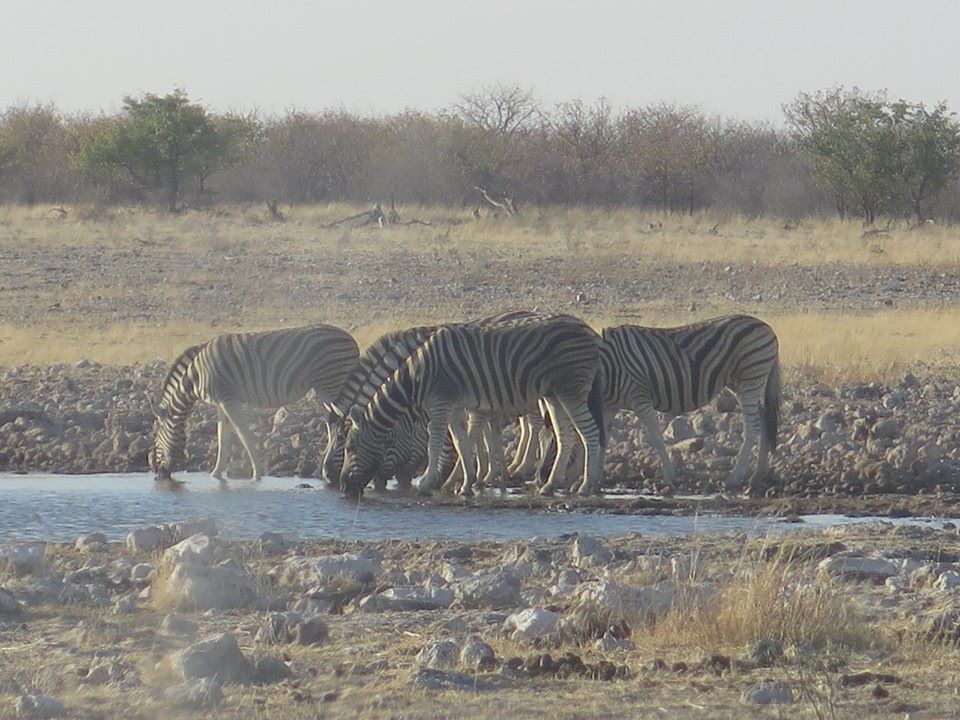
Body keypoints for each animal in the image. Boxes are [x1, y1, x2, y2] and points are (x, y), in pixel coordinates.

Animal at [149, 324, 359, 484]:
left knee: (339, 424)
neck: (195, 376)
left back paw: (328, 470)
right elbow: (222, 436)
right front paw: (216, 473)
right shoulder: (221, 403)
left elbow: (243, 433)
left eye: (156, 440)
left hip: (330, 386)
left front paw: (257, 472)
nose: (159, 475)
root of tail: (352, 340)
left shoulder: (228, 399)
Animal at [339, 313, 605, 498]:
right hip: (553, 394)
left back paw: (585, 485)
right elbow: (462, 443)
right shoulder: (454, 406)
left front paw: (425, 483)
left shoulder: (441, 402)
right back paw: (550, 485)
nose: (343, 487)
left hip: (571, 390)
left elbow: (435, 444)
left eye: (350, 447)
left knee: (589, 433)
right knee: (565, 436)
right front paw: (465, 485)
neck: (415, 378)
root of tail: (586, 327)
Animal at [540, 314, 781, 494]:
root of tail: (768, 327)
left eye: (555, 446)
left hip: (750, 379)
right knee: (764, 421)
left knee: (753, 428)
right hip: (743, 384)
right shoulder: (608, 406)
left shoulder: (639, 397)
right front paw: (596, 479)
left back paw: (734, 477)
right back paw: (757, 475)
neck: (603, 369)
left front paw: (670, 477)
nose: (540, 476)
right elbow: (602, 438)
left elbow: (656, 437)